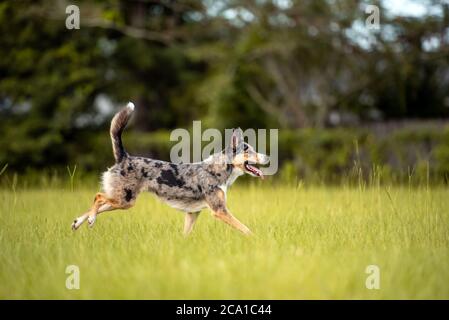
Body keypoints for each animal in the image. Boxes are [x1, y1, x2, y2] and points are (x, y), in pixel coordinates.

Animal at [71, 102, 268, 235]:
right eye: (249, 151)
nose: (268, 157)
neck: (217, 170)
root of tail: (124, 157)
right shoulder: (220, 211)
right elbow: (246, 229)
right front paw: (256, 241)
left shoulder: (192, 213)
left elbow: (185, 235)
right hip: (125, 200)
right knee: (98, 197)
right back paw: (90, 219)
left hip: (122, 200)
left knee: (100, 203)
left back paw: (79, 221)